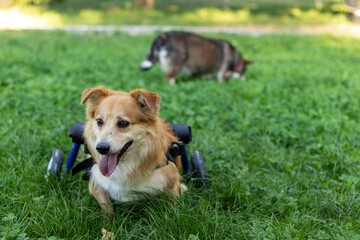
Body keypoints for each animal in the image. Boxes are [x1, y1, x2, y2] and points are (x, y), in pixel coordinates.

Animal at [80, 86, 184, 218]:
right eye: (99, 121)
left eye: (123, 123)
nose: (101, 148)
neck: (125, 166)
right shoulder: (97, 185)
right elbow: (107, 211)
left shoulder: (173, 186)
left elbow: (172, 210)